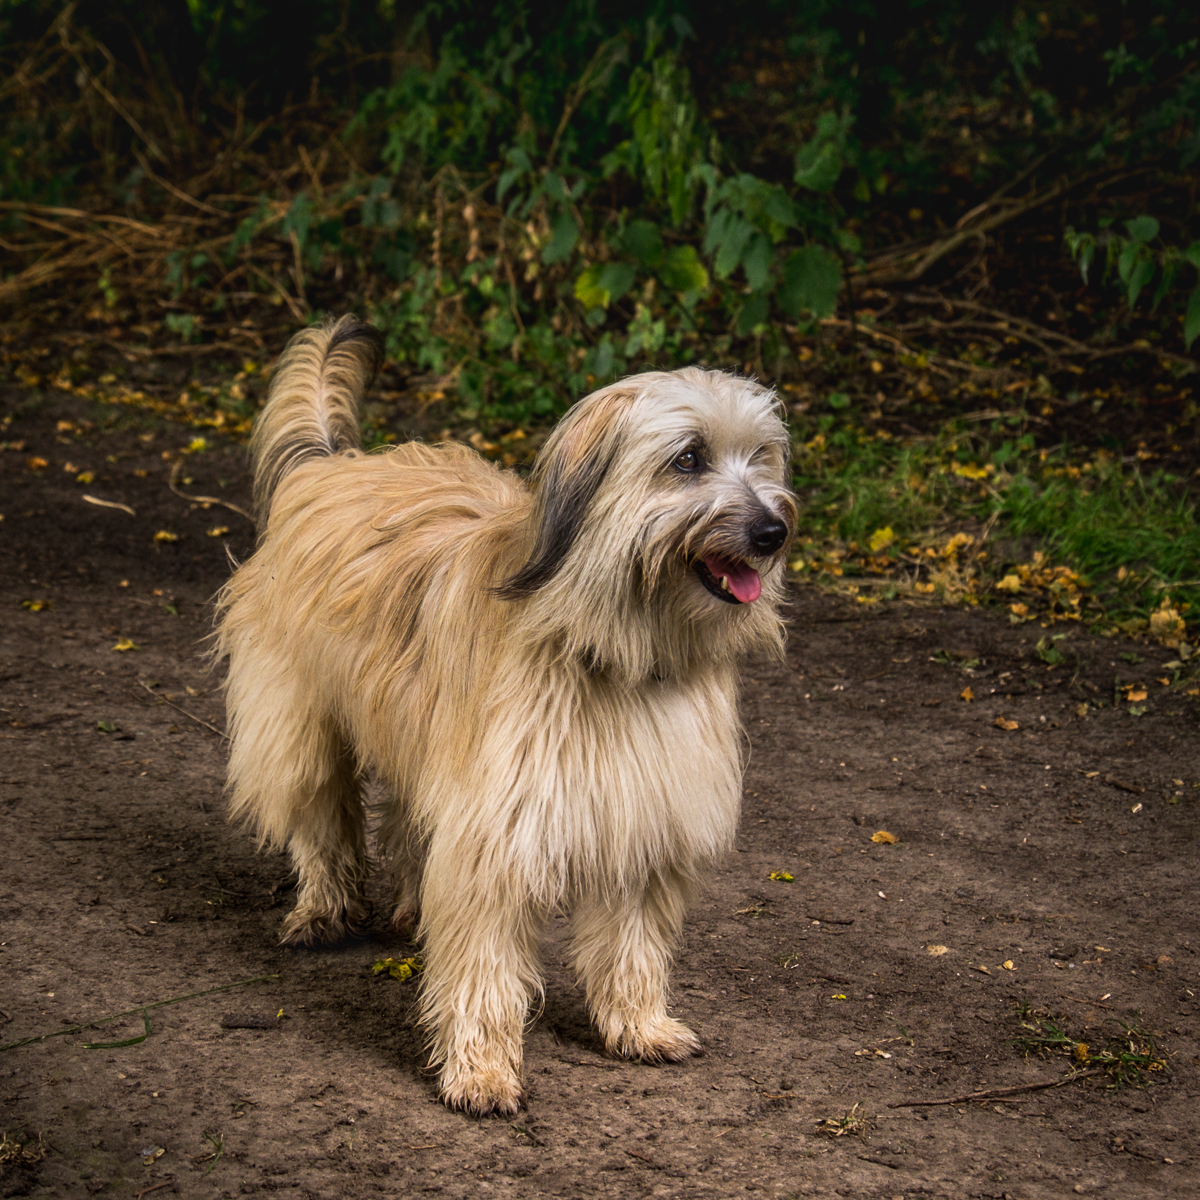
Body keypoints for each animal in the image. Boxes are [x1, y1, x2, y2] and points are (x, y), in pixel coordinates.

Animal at [216, 316, 796, 1113]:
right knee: (320, 813)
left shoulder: (644, 809)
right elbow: (485, 962)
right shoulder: (497, 827)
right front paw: (482, 1070)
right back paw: (324, 910)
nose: (774, 532)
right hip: (300, 719)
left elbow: (632, 940)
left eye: (761, 455)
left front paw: (639, 1025)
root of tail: (330, 468)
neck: (611, 652)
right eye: (688, 458)